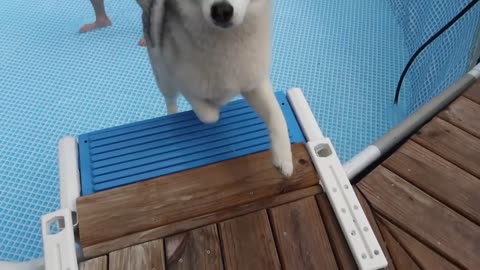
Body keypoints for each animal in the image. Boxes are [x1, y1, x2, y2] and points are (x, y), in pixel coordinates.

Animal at [137, 0, 294, 175]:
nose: (221, 11)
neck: (227, 41)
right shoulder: (182, 81)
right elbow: (209, 115)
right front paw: (215, 105)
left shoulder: (254, 81)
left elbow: (277, 115)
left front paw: (283, 157)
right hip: (163, 77)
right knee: (170, 99)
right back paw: (172, 113)